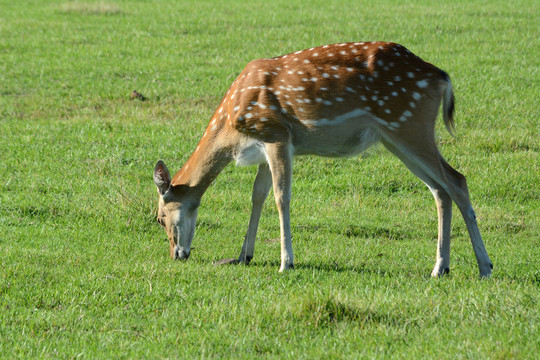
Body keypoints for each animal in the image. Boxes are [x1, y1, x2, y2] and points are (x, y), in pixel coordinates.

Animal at [153, 42, 494, 278]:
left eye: (159, 217)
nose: (176, 254)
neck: (231, 128)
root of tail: (442, 78)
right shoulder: (262, 148)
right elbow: (257, 196)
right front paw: (244, 255)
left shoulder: (277, 134)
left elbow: (281, 197)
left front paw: (286, 262)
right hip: (394, 136)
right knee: (439, 190)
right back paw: (441, 268)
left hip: (409, 124)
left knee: (457, 180)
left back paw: (485, 266)